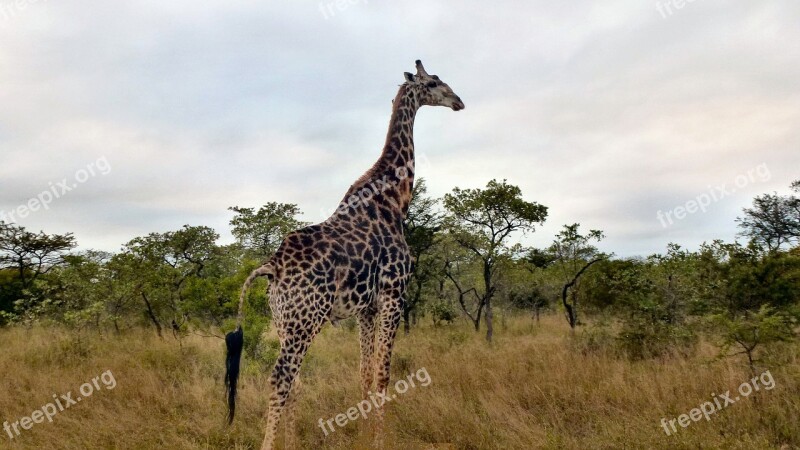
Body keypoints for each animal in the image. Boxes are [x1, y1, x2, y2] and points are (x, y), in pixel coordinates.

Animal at [223, 60, 462, 450]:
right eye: (434, 82)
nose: (459, 101)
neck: (395, 199)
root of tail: (272, 266)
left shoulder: (366, 308)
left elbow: (364, 373)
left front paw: (365, 435)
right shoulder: (395, 294)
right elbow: (383, 373)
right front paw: (380, 440)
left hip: (285, 321)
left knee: (295, 381)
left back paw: (292, 443)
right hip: (306, 319)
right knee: (280, 377)